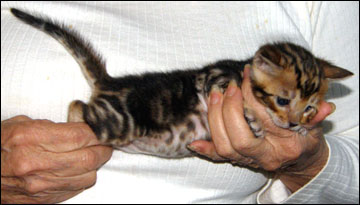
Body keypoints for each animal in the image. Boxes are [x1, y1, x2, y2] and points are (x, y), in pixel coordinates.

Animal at [9, 8, 352, 158]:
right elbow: (240, 101)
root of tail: (110, 82)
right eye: (282, 100)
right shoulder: (215, 79)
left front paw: (304, 130)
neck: (241, 68)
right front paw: (254, 120)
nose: (294, 124)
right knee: (78, 105)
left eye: (309, 108)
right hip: (118, 123)